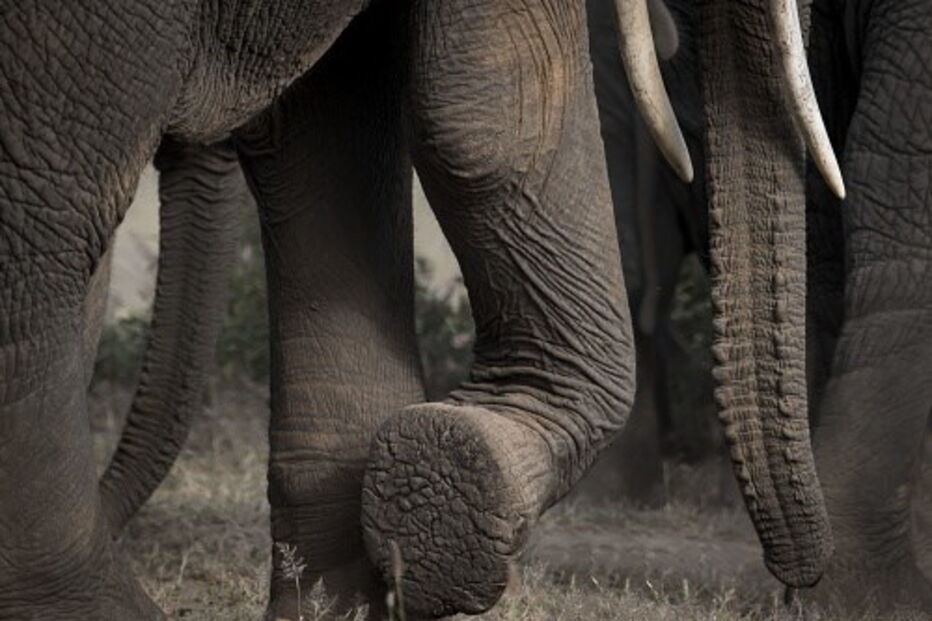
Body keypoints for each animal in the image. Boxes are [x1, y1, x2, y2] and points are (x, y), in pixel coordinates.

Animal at [0, 0, 844, 619]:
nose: (796, 587)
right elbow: (497, 117)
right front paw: (454, 475)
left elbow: (329, 127)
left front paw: (363, 577)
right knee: (48, 212)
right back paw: (95, 605)